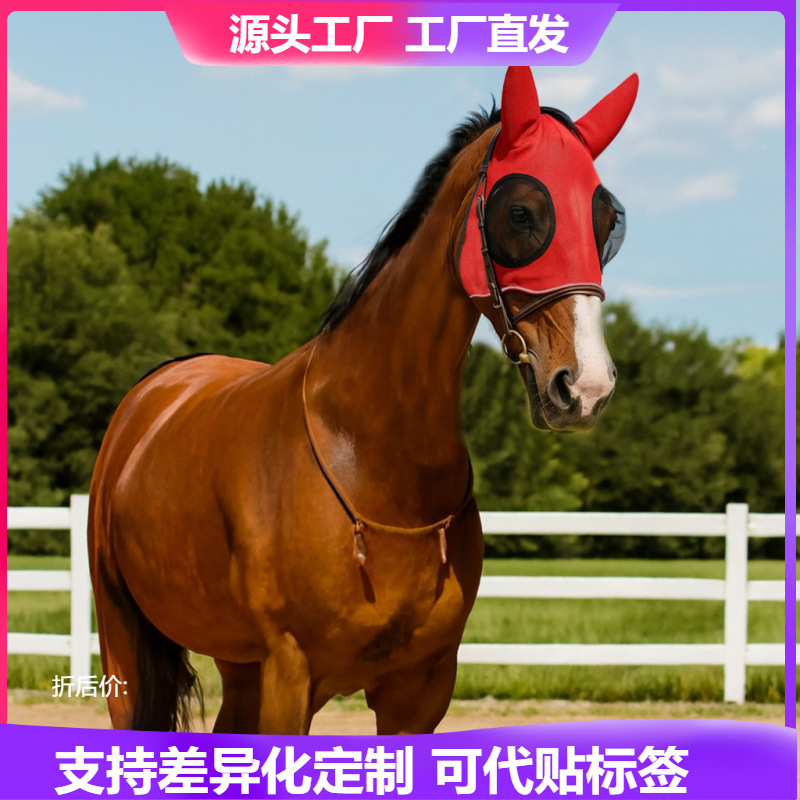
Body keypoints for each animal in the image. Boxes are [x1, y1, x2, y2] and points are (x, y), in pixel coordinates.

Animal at [88, 66, 638, 734]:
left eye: (607, 220)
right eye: (521, 212)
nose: (585, 387)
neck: (370, 451)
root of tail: (155, 390)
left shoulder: (420, 689)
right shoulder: (289, 675)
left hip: (239, 667)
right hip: (124, 644)